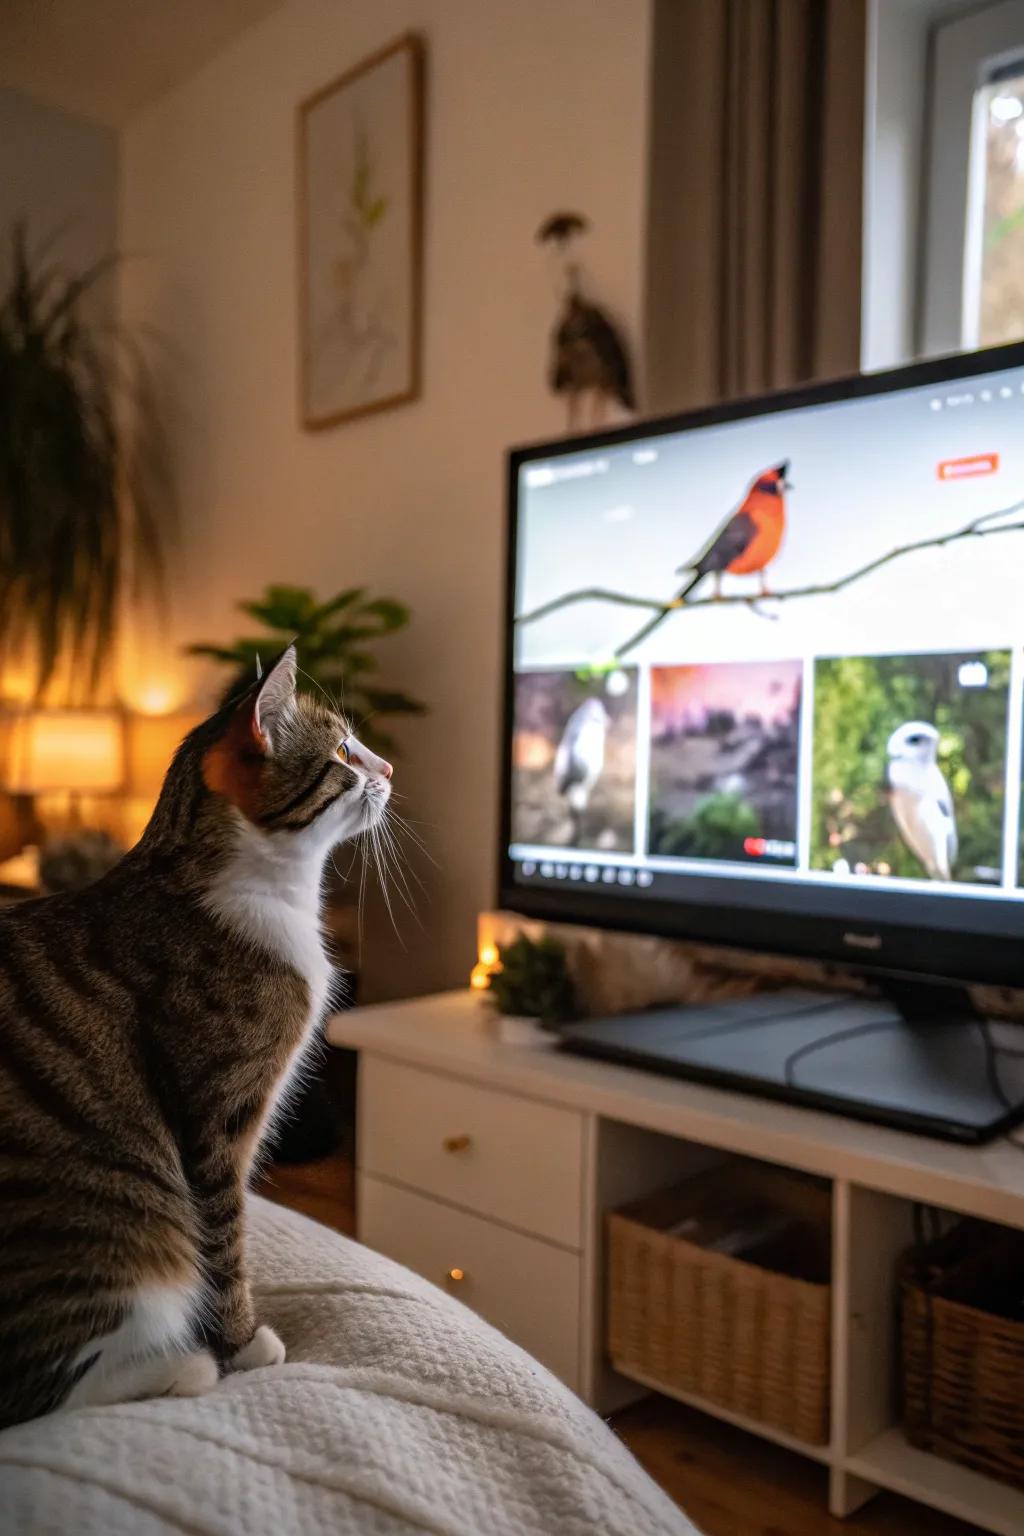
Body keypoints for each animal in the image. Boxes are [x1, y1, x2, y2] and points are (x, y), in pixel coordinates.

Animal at [0, 642, 396, 1419]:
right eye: (343, 751)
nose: (391, 769)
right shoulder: (217, 1118)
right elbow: (224, 1244)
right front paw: (243, 1346)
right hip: (113, 1226)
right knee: (50, 1390)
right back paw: (185, 1369)